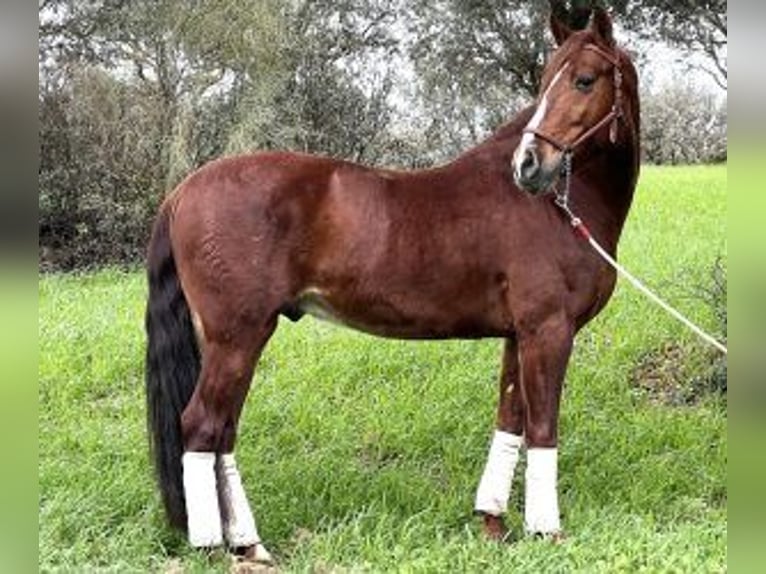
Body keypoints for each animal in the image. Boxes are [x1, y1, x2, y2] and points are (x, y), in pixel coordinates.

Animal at [145, 8, 639, 562]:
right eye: (548, 78)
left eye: (584, 79)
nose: (528, 165)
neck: (557, 207)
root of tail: (182, 191)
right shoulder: (549, 331)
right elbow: (542, 427)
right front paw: (547, 532)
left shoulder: (520, 335)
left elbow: (511, 420)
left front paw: (493, 523)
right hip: (238, 337)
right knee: (203, 426)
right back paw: (216, 548)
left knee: (223, 431)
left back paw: (247, 545)